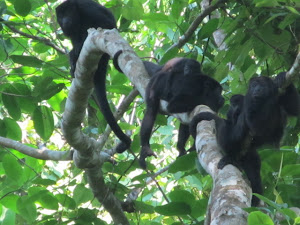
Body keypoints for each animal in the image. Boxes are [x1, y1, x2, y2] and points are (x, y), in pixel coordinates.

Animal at [55, 0, 131, 153]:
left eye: (67, 13)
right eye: (60, 16)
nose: (64, 20)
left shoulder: (85, 8)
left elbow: (106, 23)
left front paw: (77, 49)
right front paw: (73, 55)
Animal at [190, 72, 300, 206]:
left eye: (261, 85)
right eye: (253, 86)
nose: (256, 89)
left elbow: (294, 108)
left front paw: (281, 76)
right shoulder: (249, 100)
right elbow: (253, 122)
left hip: (251, 155)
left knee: (255, 173)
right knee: (227, 129)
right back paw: (230, 155)